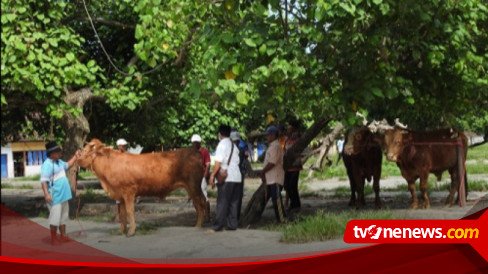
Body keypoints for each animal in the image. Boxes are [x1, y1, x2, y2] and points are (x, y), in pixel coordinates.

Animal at [76, 139, 206, 235]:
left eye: (86, 149)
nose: (77, 156)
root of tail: (194, 152)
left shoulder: (128, 191)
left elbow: (130, 211)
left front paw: (131, 231)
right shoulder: (120, 195)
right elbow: (123, 213)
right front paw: (121, 231)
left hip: (194, 186)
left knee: (201, 203)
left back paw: (199, 225)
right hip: (191, 187)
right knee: (198, 204)